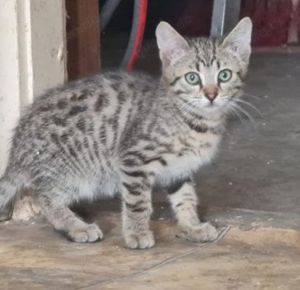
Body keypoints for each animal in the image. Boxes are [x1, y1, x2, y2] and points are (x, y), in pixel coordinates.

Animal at [0, 18, 252, 249]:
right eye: (192, 78)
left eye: (224, 75)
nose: (211, 95)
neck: (196, 121)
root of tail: (17, 149)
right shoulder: (135, 158)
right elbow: (137, 202)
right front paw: (137, 233)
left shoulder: (179, 169)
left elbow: (186, 197)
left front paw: (192, 226)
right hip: (73, 173)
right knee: (45, 198)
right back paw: (76, 226)